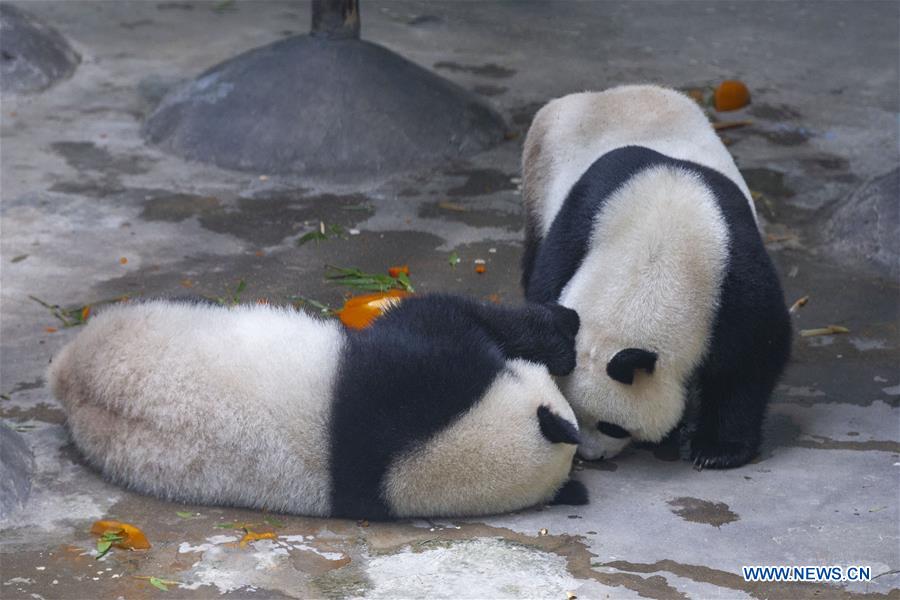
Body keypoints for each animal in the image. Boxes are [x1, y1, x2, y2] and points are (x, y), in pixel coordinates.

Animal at [521, 84, 791, 469]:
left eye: (612, 426)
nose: (590, 455)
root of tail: (611, 92)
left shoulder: (732, 274)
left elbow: (751, 357)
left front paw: (716, 450)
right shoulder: (579, 228)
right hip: (540, 181)